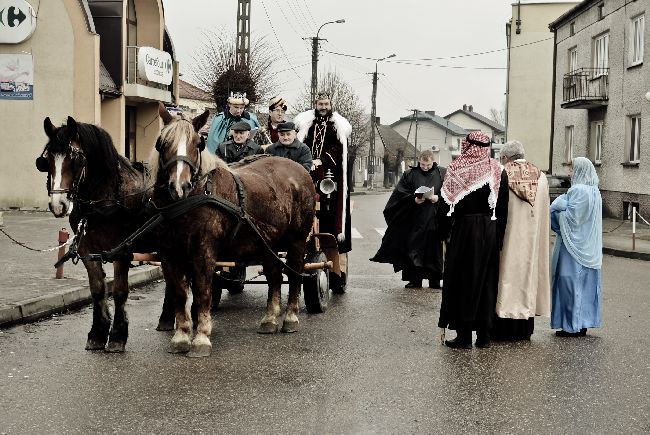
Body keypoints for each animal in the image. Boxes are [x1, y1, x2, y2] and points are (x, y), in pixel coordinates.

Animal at [152, 104, 314, 358]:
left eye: (198, 143)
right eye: (162, 142)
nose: (179, 186)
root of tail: (299, 170)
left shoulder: (204, 252)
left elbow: (203, 291)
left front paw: (201, 338)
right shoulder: (169, 254)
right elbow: (179, 292)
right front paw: (181, 337)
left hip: (297, 241)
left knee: (296, 273)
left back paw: (290, 318)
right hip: (267, 244)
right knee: (275, 276)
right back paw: (269, 319)